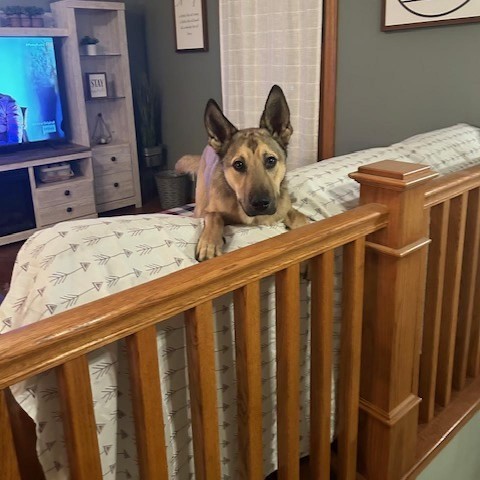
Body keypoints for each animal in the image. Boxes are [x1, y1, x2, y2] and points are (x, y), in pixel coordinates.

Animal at [175, 84, 308, 260]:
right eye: (238, 164)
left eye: (271, 160)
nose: (261, 204)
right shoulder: (209, 212)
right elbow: (214, 216)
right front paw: (209, 243)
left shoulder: (284, 208)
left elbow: (299, 216)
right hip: (200, 203)